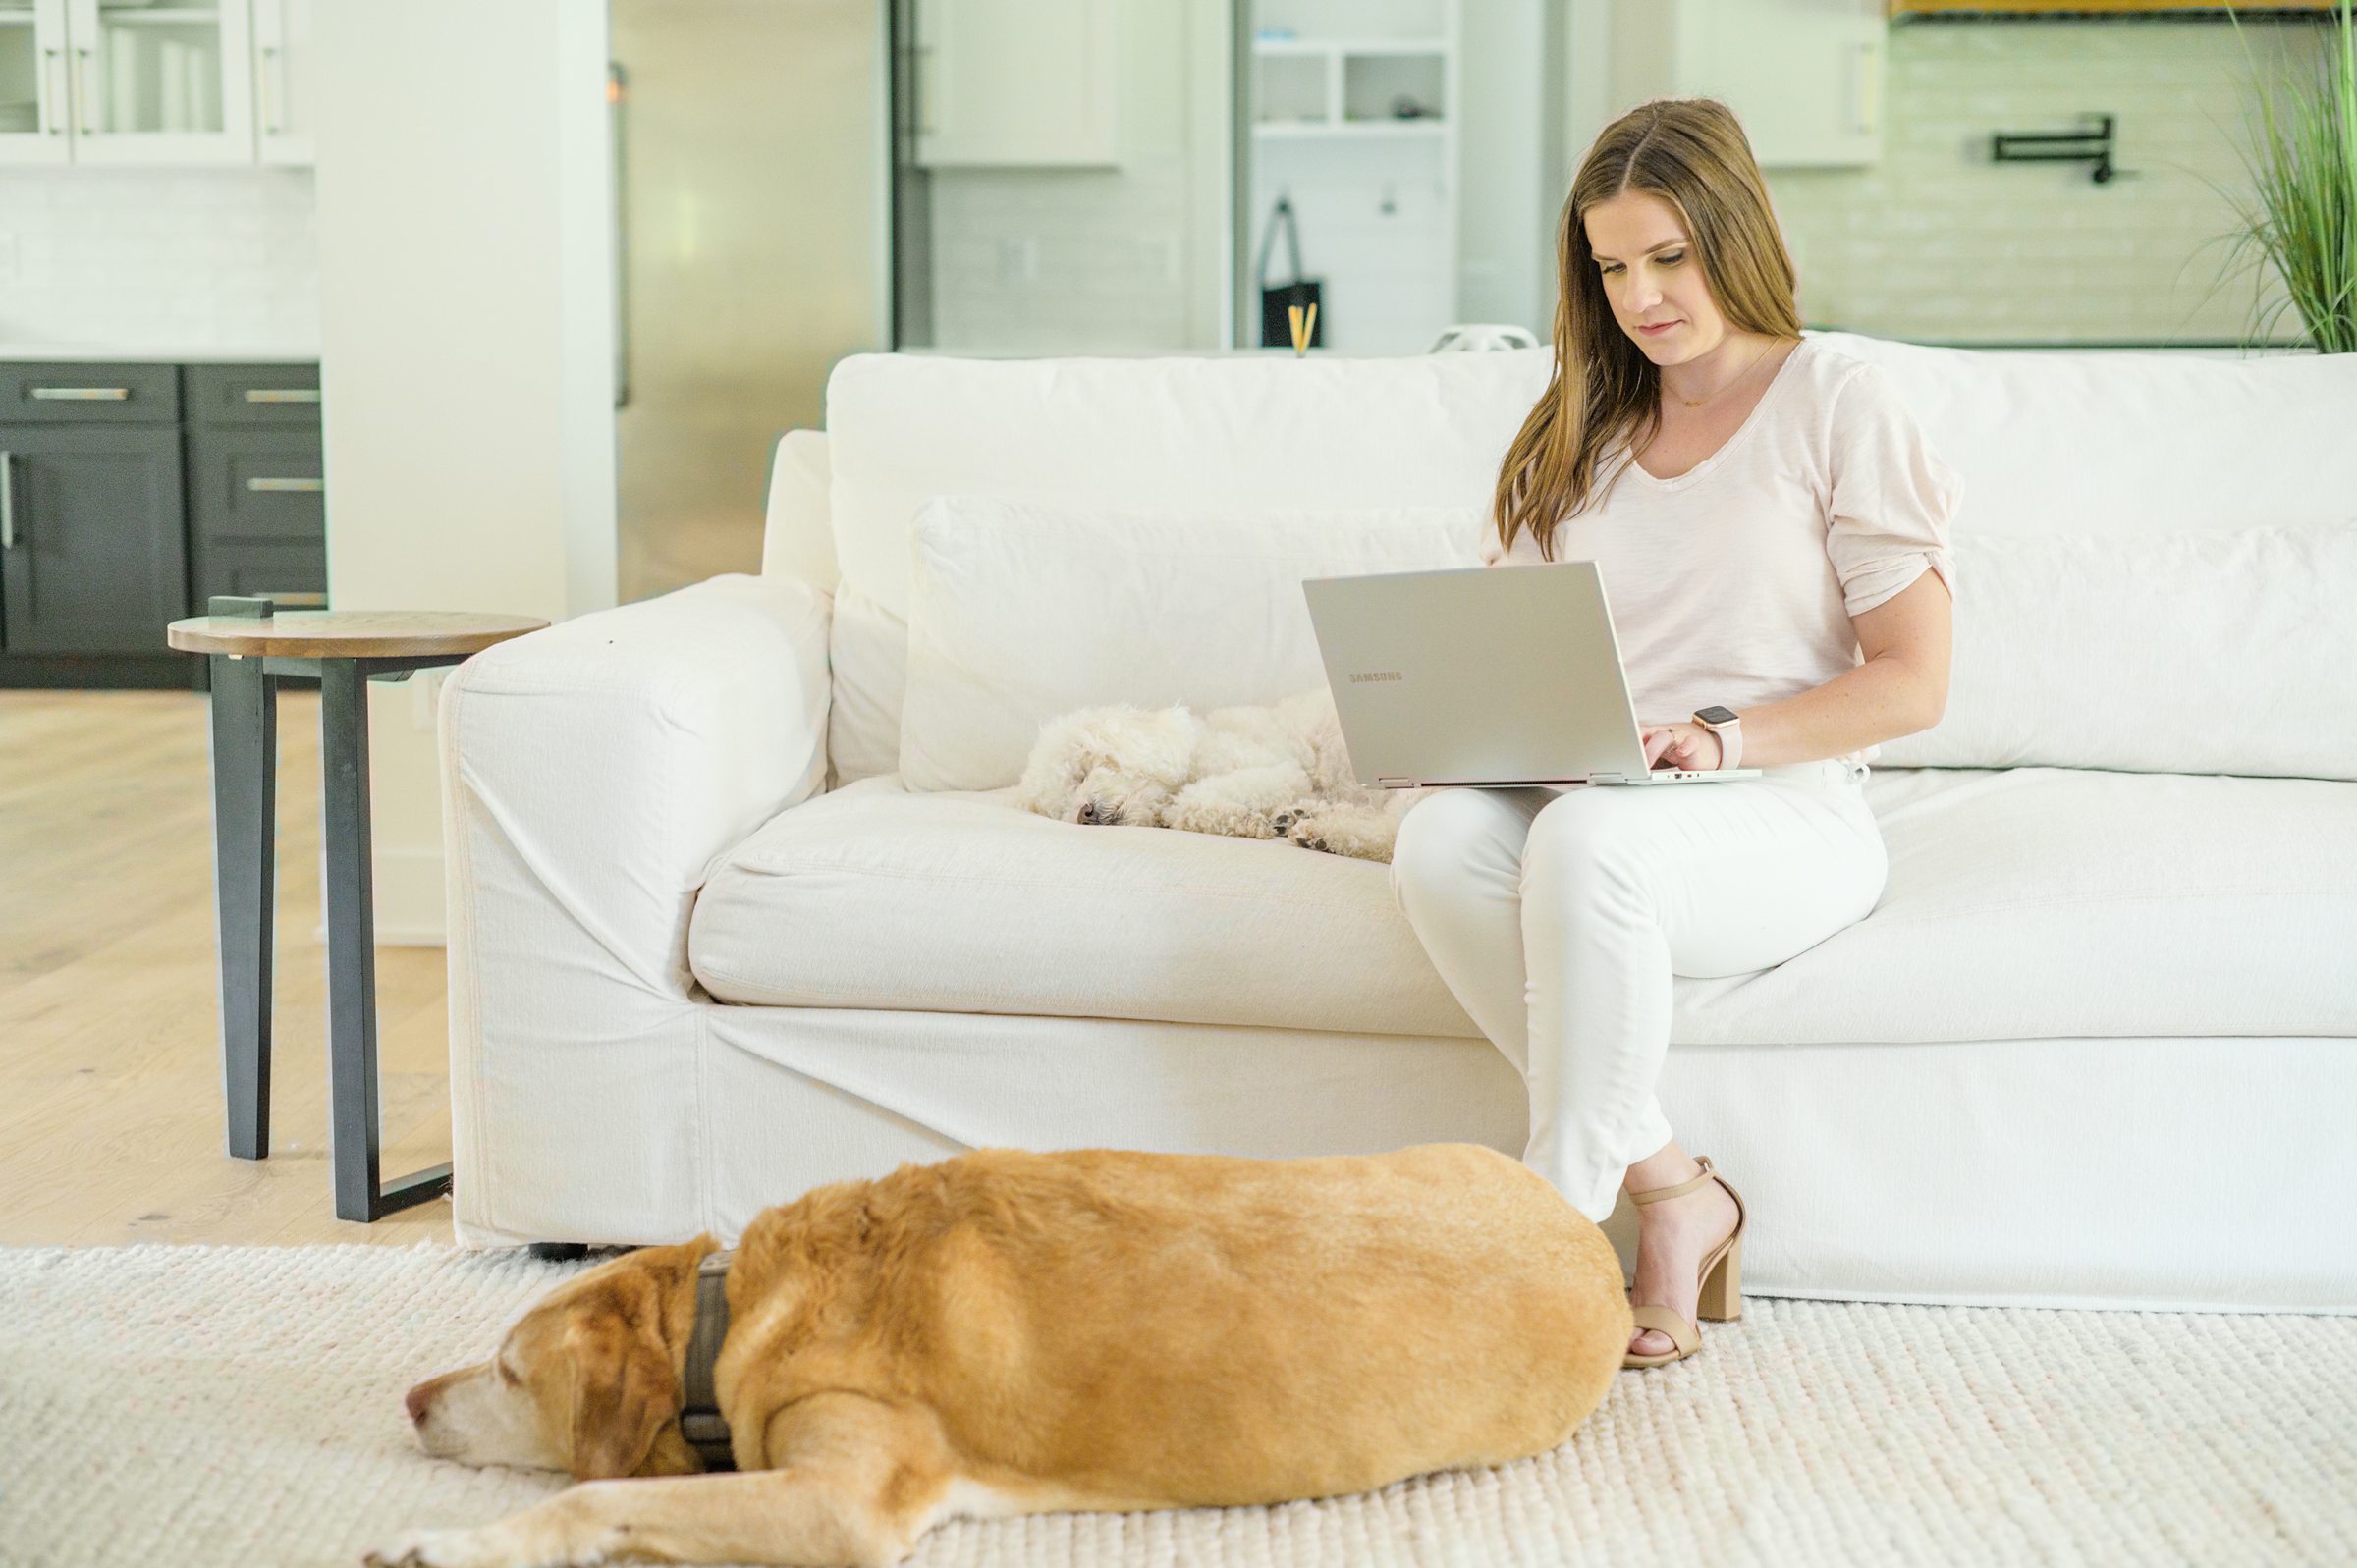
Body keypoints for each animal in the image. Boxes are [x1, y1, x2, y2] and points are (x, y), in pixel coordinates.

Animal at [367, 1136, 1630, 1565]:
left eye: (510, 1372)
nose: (412, 1397)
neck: (730, 1316)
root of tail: (1596, 1246)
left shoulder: (845, 1501)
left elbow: (593, 1499)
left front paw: (440, 1542)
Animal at [1017, 683, 1414, 858]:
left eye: (1081, 771)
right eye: (1060, 807)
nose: (1083, 813)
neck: (1196, 747)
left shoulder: (1279, 770)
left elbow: (1187, 802)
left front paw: (1255, 819)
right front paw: (1285, 815)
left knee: (1393, 833)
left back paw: (1320, 833)